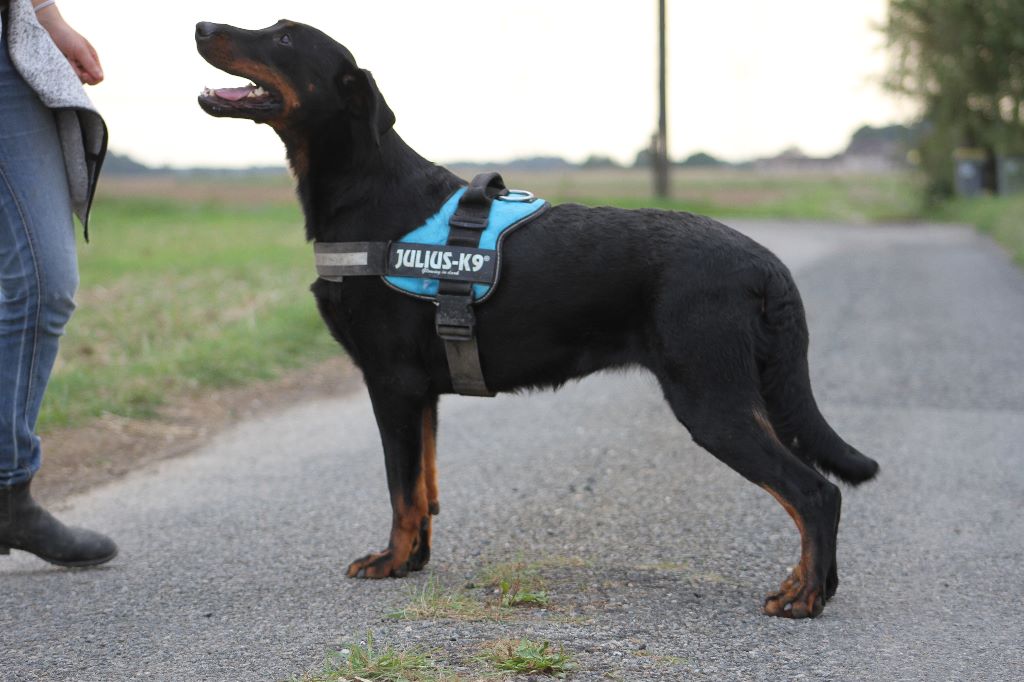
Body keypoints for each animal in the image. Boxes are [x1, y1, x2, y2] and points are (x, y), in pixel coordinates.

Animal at [196, 19, 879, 618]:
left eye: (285, 38)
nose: (202, 26)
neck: (366, 190)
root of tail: (766, 263)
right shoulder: (421, 394)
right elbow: (424, 488)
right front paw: (412, 562)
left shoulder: (391, 383)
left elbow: (401, 489)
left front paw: (389, 563)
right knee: (815, 493)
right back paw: (814, 585)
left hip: (713, 400)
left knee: (814, 493)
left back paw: (802, 597)